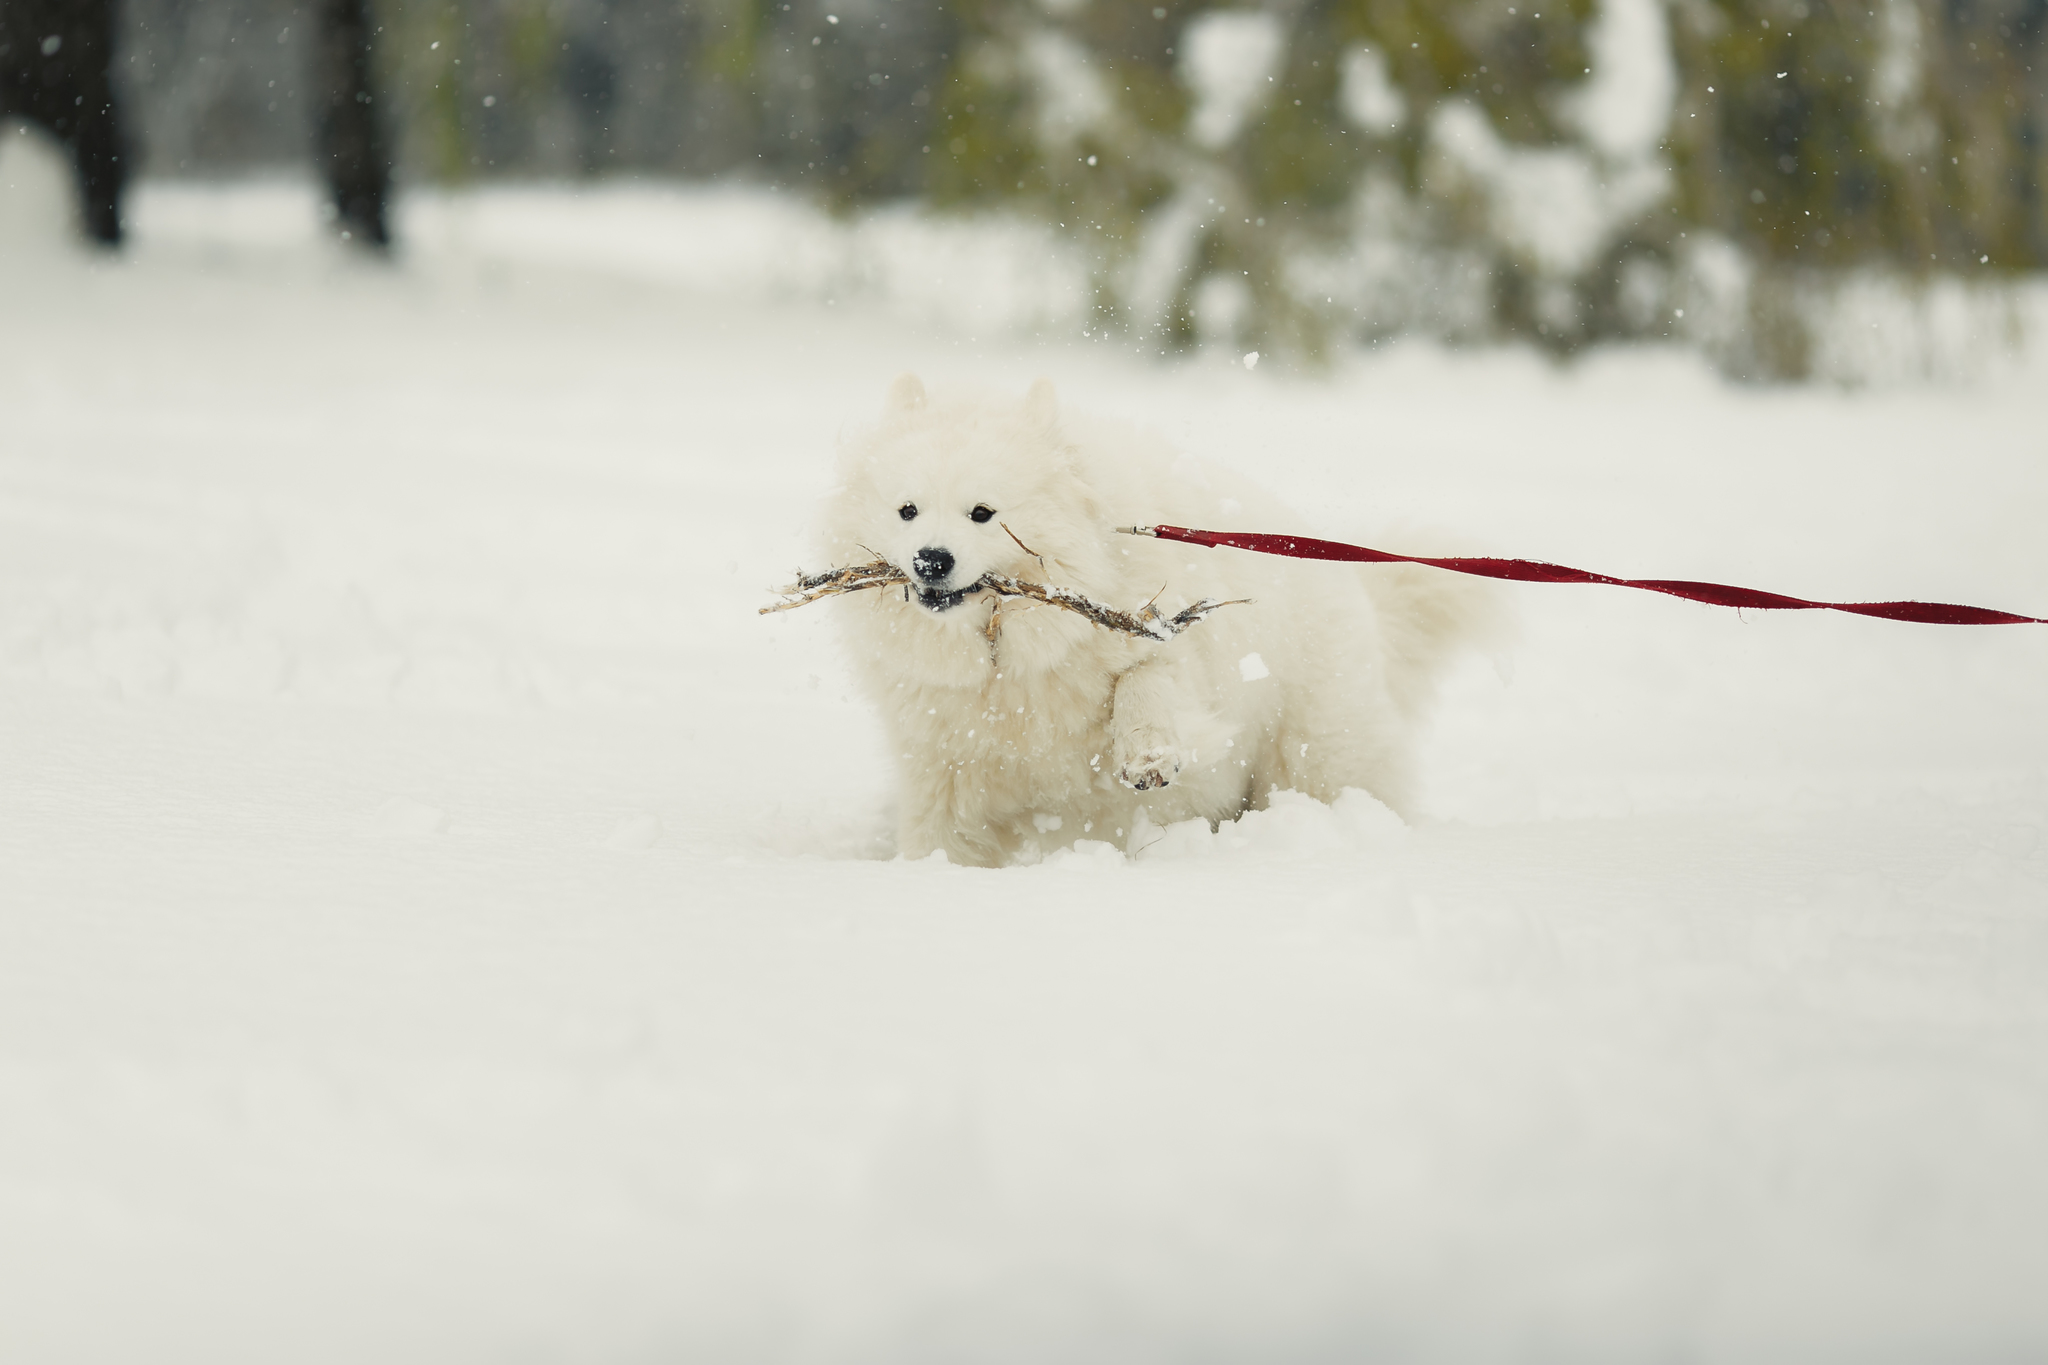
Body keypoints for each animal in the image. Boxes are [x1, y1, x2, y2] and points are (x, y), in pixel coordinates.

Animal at [823, 374, 1499, 863]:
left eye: (983, 513)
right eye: (907, 510)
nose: (930, 561)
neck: (1008, 657)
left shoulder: (1174, 641)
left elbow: (1145, 680)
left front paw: (1147, 756)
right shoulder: (944, 764)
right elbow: (941, 837)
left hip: (1314, 755)